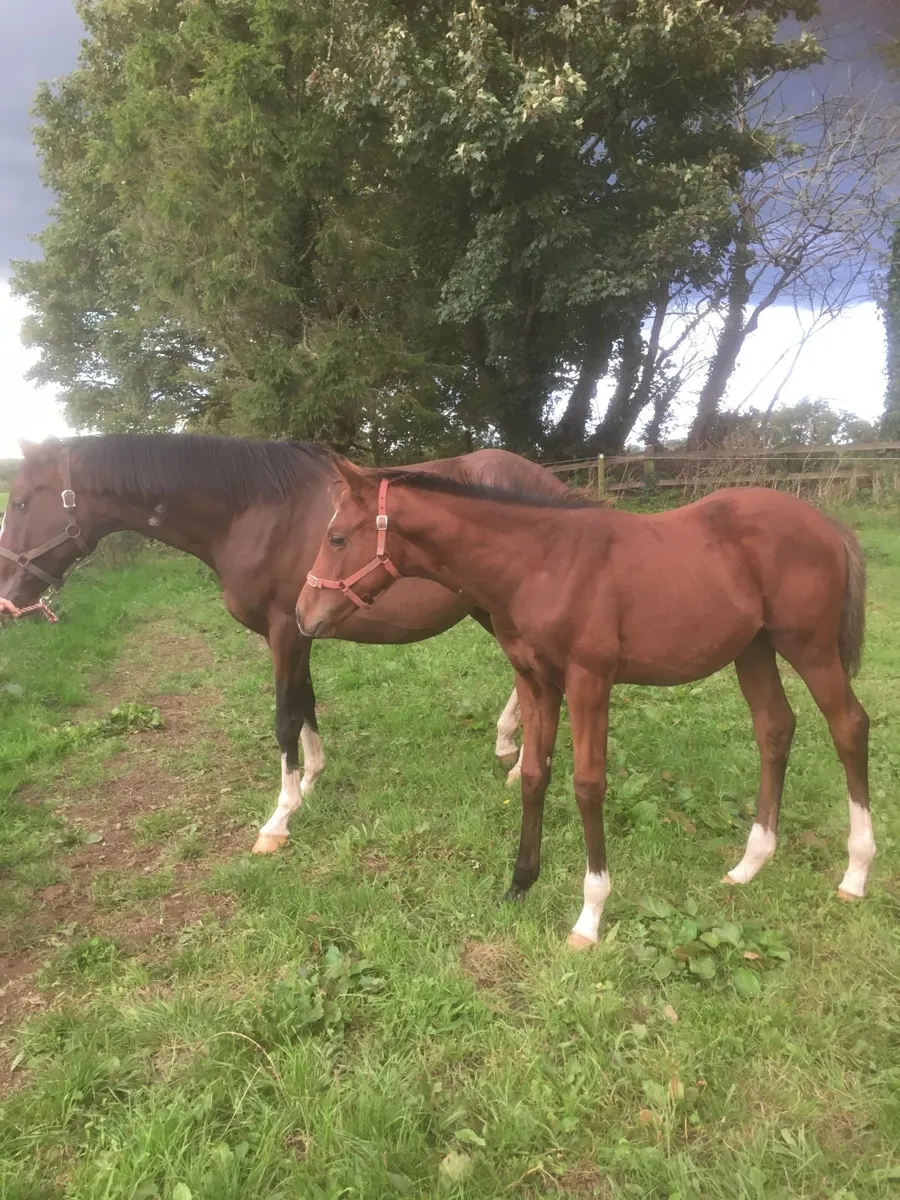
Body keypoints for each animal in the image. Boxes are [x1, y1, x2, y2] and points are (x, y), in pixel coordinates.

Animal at [0, 434, 571, 853]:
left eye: (21, 502)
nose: (8, 596)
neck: (254, 512)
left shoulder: (285, 630)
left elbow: (284, 716)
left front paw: (279, 818)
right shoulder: (299, 630)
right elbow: (306, 702)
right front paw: (311, 782)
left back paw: (517, 760)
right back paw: (508, 747)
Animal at [297, 461, 873, 949]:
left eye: (336, 537)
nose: (304, 616)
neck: (541, 564)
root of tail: (826, 523)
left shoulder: (588, 682)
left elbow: (588, 785)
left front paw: (590, 915)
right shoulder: (536, 682)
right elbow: (533, 774)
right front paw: (519, 884)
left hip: (810, 647)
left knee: (849, 726)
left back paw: (856, 871)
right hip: (754, 649)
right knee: (774, 728)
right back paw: (751, 863)